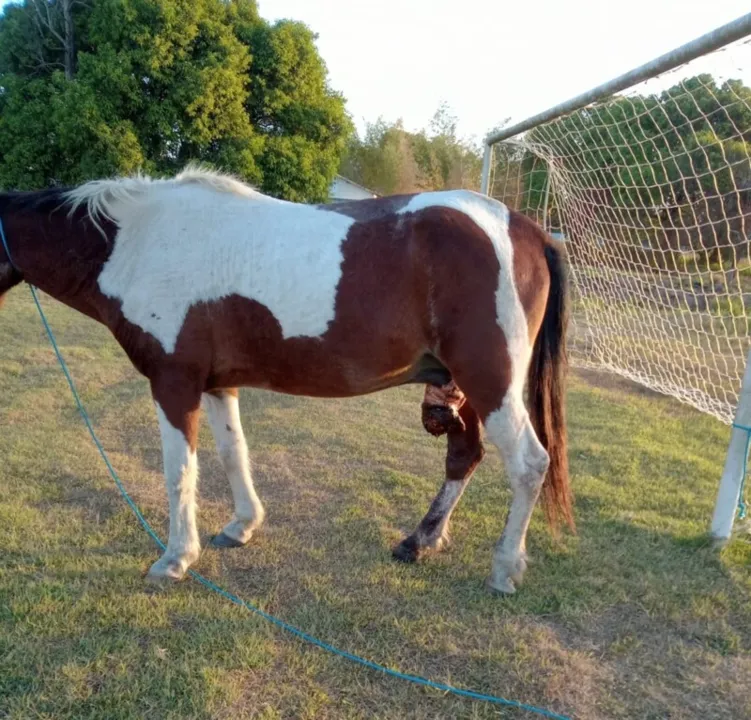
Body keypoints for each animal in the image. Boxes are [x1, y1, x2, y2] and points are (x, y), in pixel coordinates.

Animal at [0, 166, 572, 592]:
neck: (141, 240)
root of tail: (526, 229)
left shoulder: (174, 381)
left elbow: (179, 471)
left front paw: (176, 558)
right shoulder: (216, 383)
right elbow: (233, 452)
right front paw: (242, 525)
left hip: (490, 381)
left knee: (527, 464)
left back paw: (504, 568)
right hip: (463, 387)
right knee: (464, 456)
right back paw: (420, 540)